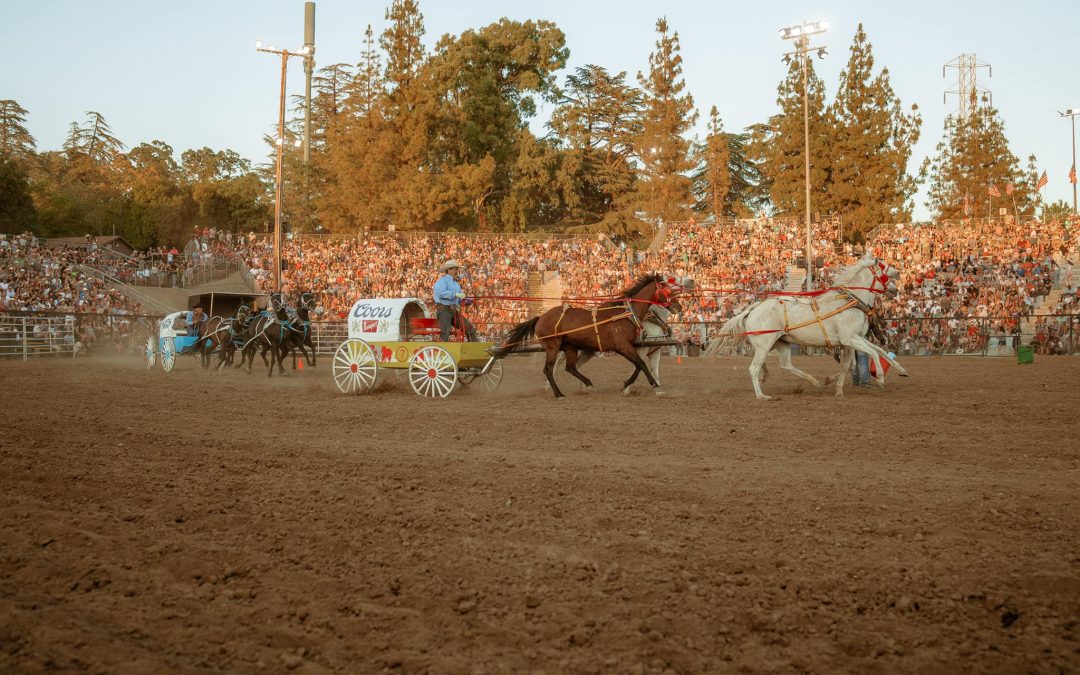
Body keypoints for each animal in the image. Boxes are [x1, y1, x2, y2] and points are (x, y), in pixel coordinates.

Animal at [492, 274, 678, 397]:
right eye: (667, 290)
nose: (678, 306)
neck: (624, 314)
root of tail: (540, 318)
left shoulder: (631, 347)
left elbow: (639, 366)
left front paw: (628, 384)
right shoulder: (623, 347)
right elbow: (642, 365)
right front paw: (653, 383)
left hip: (570, 347)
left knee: (570, 367)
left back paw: (587, 383)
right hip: (553, 346)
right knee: (549, 369)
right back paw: (559, 393)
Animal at [704, 252, 907, 399]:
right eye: (882, 265)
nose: (897, 280)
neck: (850, 302)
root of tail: (753, 308)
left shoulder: (853, 340)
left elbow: (870, 355)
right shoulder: (849, 338)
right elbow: (872, 353)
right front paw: (880, 377)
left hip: (781, 343)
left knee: (785, 365)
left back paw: (812, 381)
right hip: (764, 345)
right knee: (754, 368)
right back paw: (762, 395)